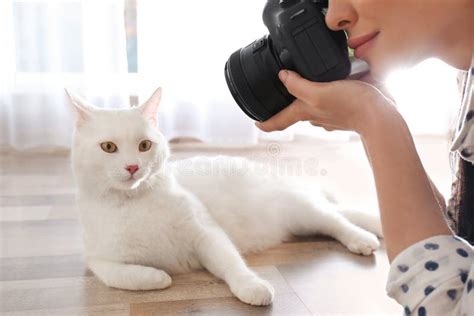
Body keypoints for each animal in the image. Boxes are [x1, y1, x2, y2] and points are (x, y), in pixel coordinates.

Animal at [65, 87, 382, 304]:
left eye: (144, 145)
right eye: (108, 147)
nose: (132, 166)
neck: (135, 203)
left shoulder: (206, 233)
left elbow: (231, 263)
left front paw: (251, 287)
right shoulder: (98, 260)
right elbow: (124, 276)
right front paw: (158, 276)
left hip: (302, 211)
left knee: (337, 220)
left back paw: (363, 238)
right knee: (338, 213)